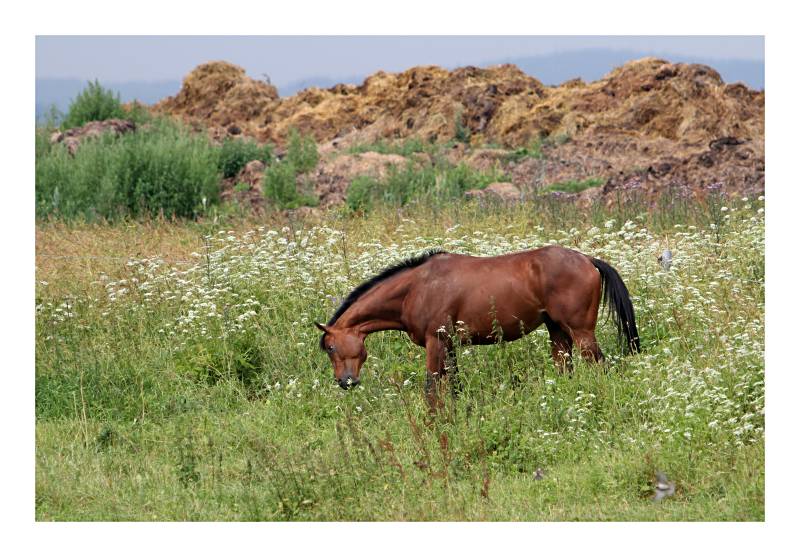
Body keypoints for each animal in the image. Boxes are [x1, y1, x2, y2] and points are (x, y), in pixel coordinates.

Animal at [316, 245, 640, 406]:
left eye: (330, 347)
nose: (345, 382)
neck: (416, 287)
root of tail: (588, 259)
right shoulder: (449, 346)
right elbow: (454, 384)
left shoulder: (435, 342)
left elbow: (431, 386)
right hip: (558, 333)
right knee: (565, 369)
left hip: (581, 333)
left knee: (600, 367)